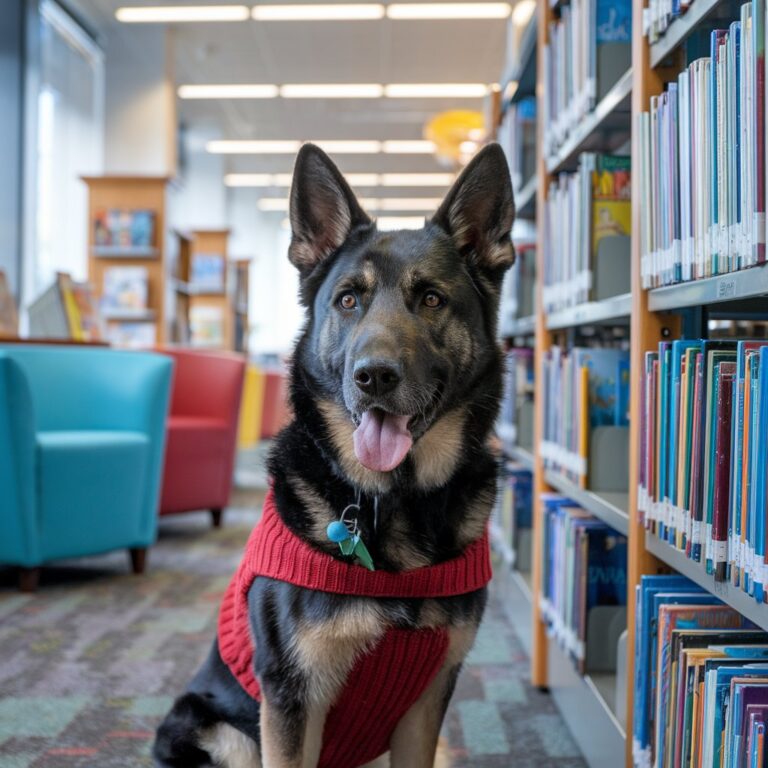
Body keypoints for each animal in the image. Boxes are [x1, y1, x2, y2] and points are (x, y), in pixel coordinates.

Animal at [153, 140, 516, 768]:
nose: (373, 376)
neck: (392, 502)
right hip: (217, 730)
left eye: (431, 299)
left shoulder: (425, 709)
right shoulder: (292, 701)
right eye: (349, 300)